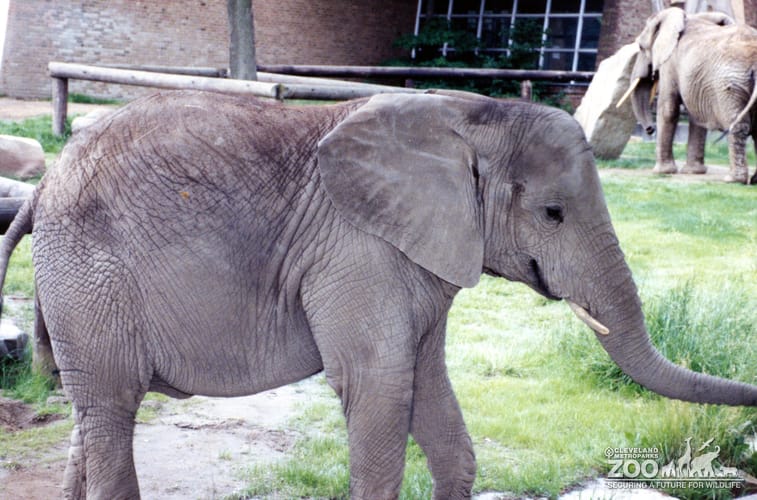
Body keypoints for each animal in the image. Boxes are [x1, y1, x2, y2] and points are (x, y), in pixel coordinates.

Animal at [0, 89, 756, 499]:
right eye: (551, 214)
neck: (468, 118)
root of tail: (41, 188)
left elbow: (430, 389)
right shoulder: (357, 250)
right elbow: (380, 386)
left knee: (91, 415)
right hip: (90, 273)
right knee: (111, 407)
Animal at [627, 8, 757, 184]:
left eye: (641, 47)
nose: (649, 129)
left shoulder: (670, 63)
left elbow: (668, 109)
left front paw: (661, 172)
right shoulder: (698, 81)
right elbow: (697, 116)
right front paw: (693, 172)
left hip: (731, 84)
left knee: (738, 125)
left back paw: (733, 180)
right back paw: (753, 180)